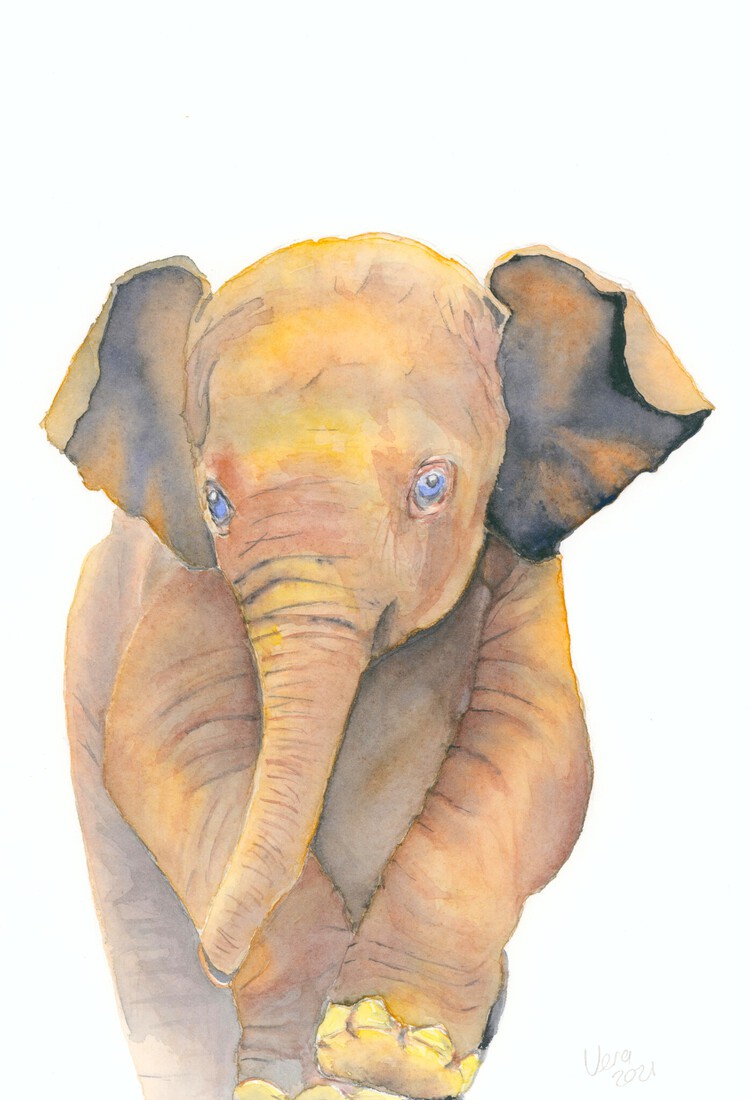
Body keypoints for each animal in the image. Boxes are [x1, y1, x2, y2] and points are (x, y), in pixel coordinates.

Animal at [44, 234, 710, 1100]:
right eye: (214, 502)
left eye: (432, 486)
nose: (215, 960)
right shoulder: (181, 583)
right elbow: (169, 745)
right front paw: (308, 1078)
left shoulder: (523, 574)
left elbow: (534, 752)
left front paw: (391, 1053)